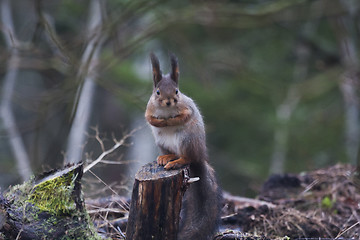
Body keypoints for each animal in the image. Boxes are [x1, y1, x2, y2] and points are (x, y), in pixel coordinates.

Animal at [145, 53, 221, 240]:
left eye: (177, 91)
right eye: (157, 92)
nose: (169, 102)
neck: (167, 111)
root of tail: (200, 156)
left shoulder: (187, 108)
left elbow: (184, 116)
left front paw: (171, 121)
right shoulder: (149, 108)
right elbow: (149, 118)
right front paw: (160, 122)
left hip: (187, 140)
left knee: (187, 157)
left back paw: (177, 162)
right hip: (162, 142)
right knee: (173, 153)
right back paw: (166, 158)